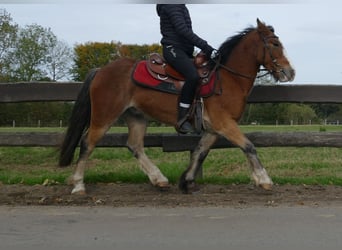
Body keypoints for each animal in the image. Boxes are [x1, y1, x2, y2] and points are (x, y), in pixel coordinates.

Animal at [58, 20, 294, 195]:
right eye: (274, 44)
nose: (289, 72)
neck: (228, 79)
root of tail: (101, 70)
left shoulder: (213, 128)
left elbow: (199, 152)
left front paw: (186, 180)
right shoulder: (224, 123)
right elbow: (248, 146)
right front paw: (264, 179)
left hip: (136, 116)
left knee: (135, 145)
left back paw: (159, 179)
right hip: (104, 116)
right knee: (87, 143)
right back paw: (78, 185)